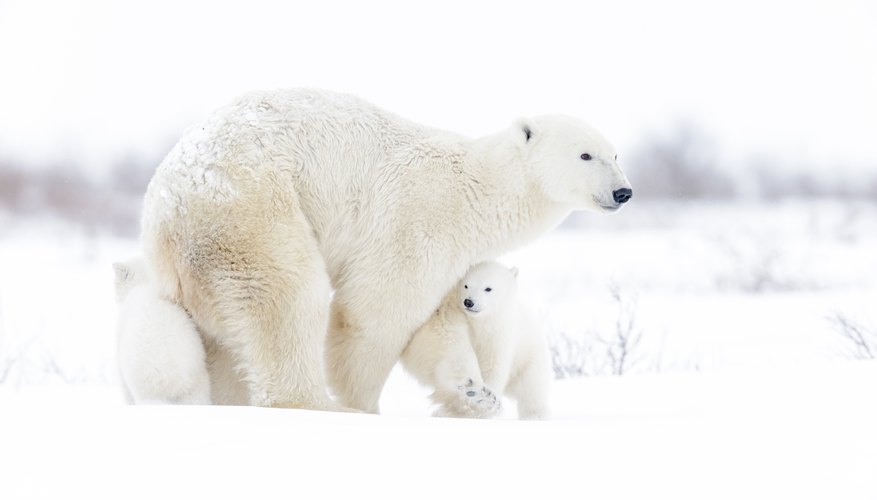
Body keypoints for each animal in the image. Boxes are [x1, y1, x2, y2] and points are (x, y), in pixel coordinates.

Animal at [140, 88, 628, 412]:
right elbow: (375, 312)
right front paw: (364, 407)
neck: (476, 189)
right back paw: (314, 404)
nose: (623, 192)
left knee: (224, 338)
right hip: (250, 208)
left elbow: (437, 325)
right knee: (286, 297)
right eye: (586, 155)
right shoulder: (418, 221)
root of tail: (166, 200)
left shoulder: (455, 260)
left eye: (616, 153)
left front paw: (473, 394)